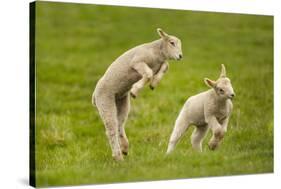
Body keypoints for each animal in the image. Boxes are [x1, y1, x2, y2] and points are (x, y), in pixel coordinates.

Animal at [92, 28, 182, 161]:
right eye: (172, 43)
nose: (181, 56)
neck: (156, 52)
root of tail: (94, 95)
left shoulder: (160, 63)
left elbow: (165, 67)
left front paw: (153, 84)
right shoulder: (137, 62)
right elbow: (149, 73)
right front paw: (135, 90)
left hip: (121, 100)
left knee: (119, 125)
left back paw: (124, 148)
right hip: (104, 100)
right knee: (111, 129)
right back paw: (118, 157)